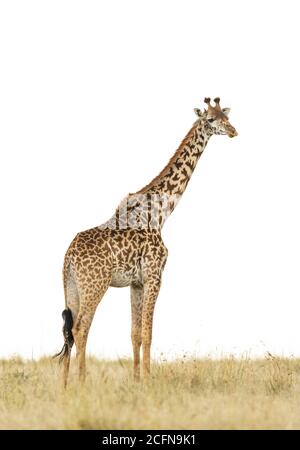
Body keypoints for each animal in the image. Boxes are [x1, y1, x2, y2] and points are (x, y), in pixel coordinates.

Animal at [54, 96, 237, 384]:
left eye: (226, 116)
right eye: (210, 119)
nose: (233, 131)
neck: (160, 211)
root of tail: (69, 257)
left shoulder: (136, 283)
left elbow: (135, 333)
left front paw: (137, 380)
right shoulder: (154, 275)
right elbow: (149, 332)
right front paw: (150, 381)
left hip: (70, 286)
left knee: (68, 331)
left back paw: (63, 387)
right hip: (94, 285)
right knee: (82, 328)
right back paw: (81, 383)